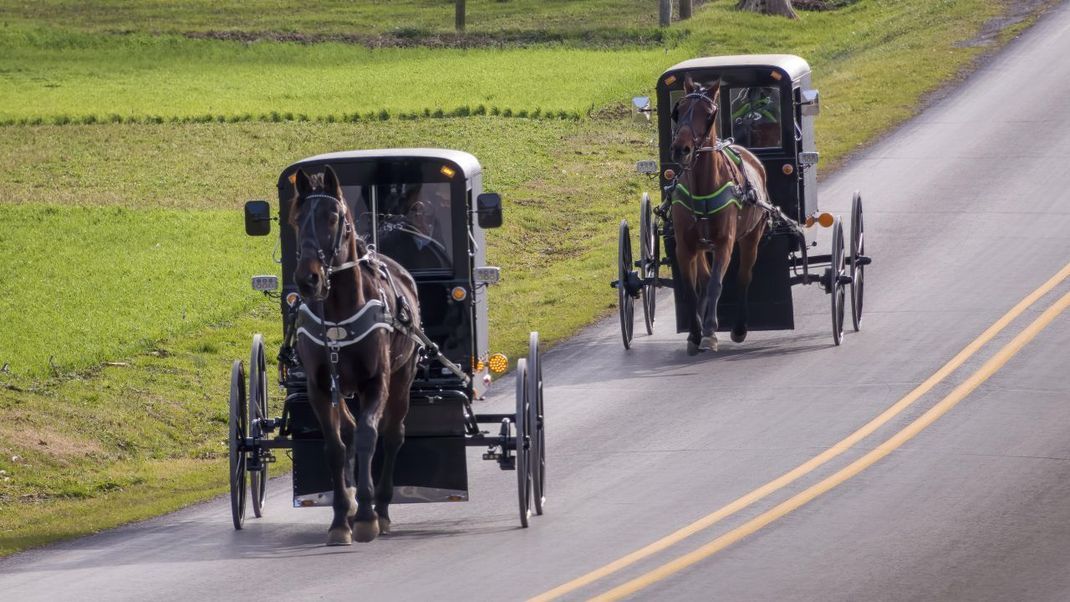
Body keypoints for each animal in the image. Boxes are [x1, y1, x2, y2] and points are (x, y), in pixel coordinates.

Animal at [667, 76, 770, 354]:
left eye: (708, 114)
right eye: (679, 110)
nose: (681, 149)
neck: (702, 189)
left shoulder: (725, 243)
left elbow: (716, 285)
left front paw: (710, 332)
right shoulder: (685, 247)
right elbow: (691, 290)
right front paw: (694, 333)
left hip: (751, 237)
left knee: (744, 276)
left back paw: (739, 327)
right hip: (703, 246)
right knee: (703, 280)